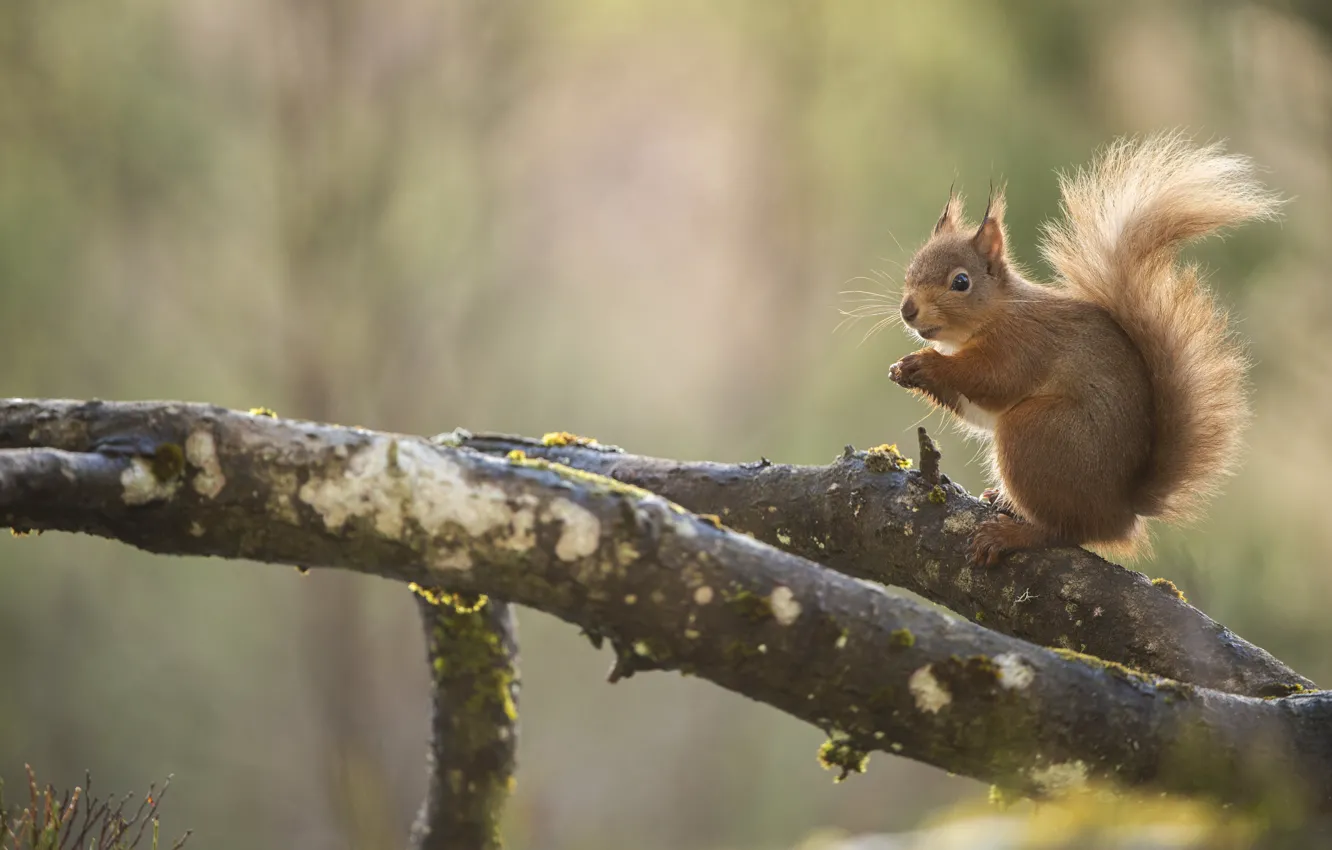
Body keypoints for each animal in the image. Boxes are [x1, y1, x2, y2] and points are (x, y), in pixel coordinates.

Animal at [887, 133, 1281, 567]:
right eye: (911, 270)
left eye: (961, 282)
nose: (908, 310)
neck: (997, 314)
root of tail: (1122, 511)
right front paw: (904, 370)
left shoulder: (1024, 344)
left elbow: (991, 379)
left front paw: (928, 364)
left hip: (1038, 434)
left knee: (1067, 531)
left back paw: (1012, 533)